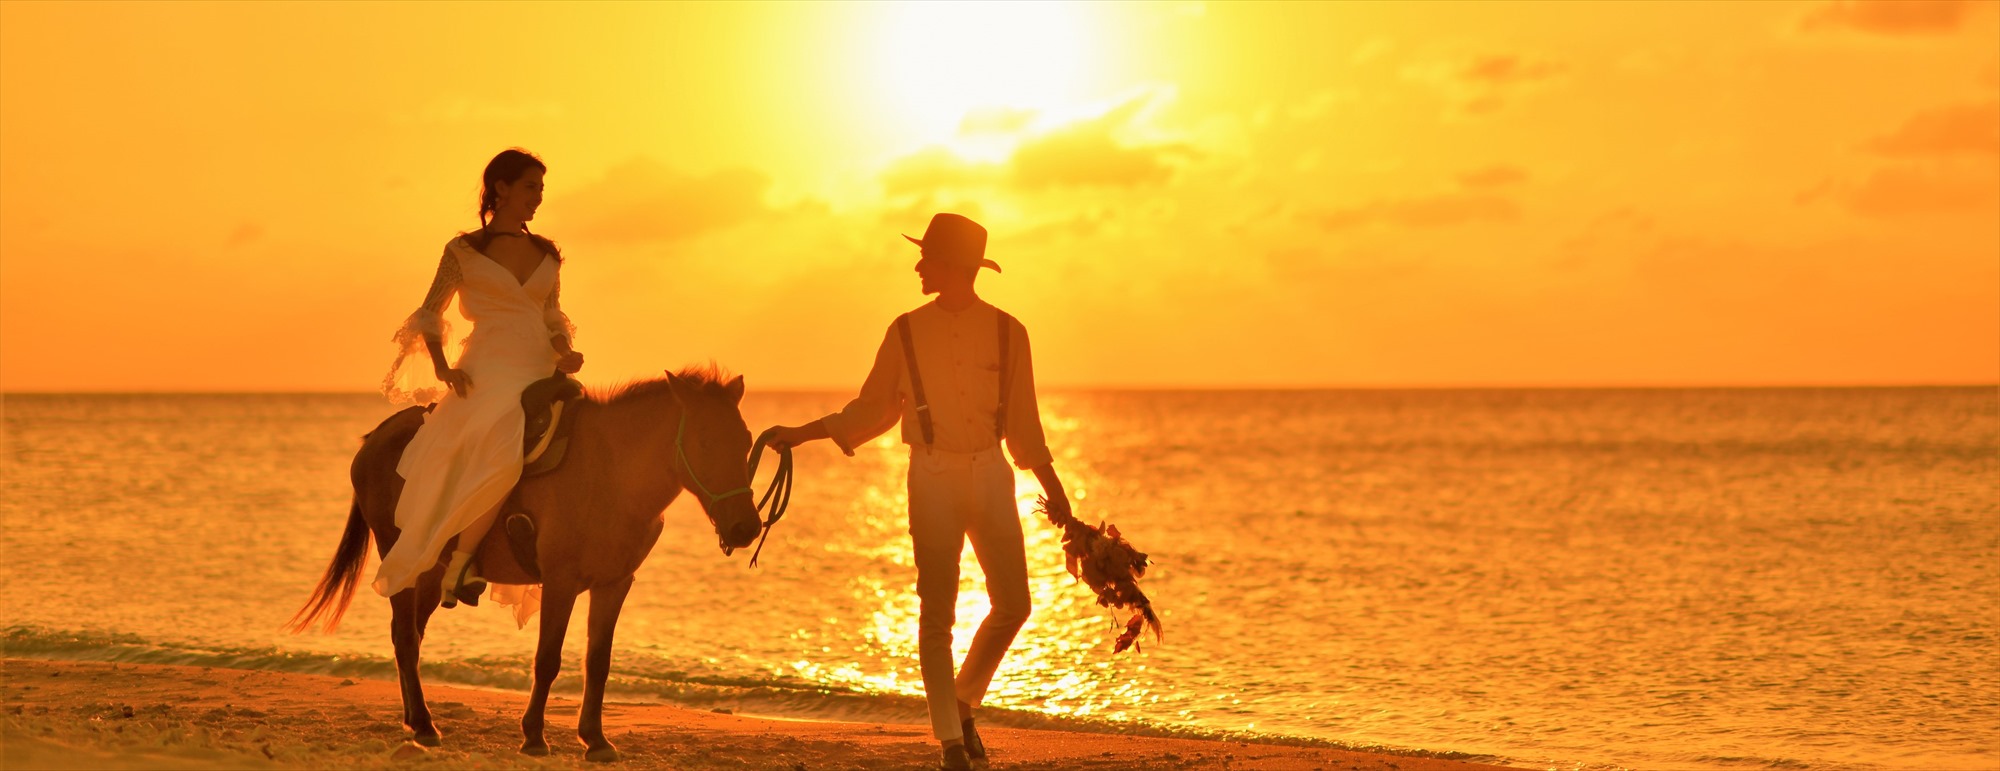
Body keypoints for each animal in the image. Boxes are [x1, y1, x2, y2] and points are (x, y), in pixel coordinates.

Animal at [290, 367, 764, 759]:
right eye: (706, 441)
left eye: (745, 441)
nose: (745, 527)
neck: (610, 472)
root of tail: (375, 439)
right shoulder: (560, 581)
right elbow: (548, 658)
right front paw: (535, 736)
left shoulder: (614, 584)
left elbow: (598, 661)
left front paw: (595, 739)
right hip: (405, 559)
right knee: (407, 638)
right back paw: (424, 725)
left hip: (430, 571)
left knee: (408, 636)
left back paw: (416, 720)